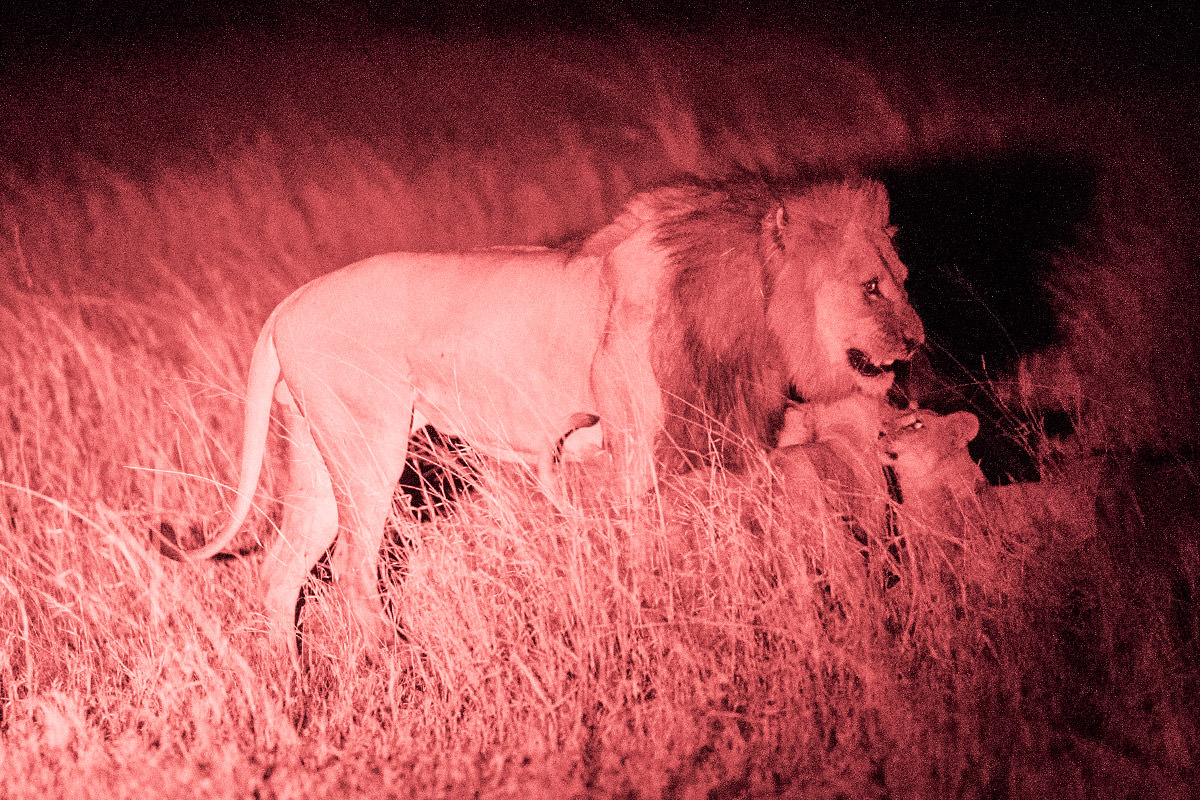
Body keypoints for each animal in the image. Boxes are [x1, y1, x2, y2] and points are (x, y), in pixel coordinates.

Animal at [182, 178, 921, 652]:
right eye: (871, 287)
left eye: (905, 281)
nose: (916, 342)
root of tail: (289, 302)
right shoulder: (643, 456)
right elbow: (656, 551)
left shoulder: (775, 447)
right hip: (369, 447)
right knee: (353, 576)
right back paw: (404, 667)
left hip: (320, 451)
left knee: (280, 574)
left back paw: (294, 698)